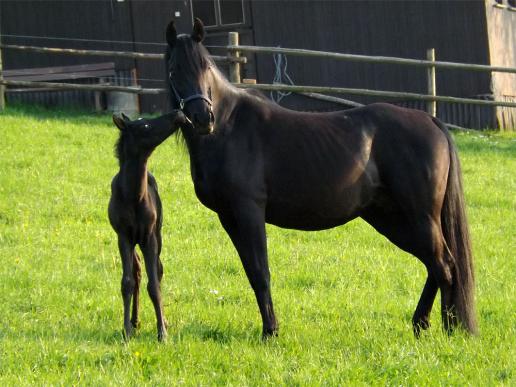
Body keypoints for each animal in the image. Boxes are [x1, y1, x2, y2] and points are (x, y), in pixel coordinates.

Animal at [109, 110, 187, 342]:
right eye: (144, 126)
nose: (177, 114)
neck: (133, 195)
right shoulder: (124, 236)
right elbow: (127, 282)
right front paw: (126, 330)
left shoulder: (149, 236)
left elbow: (154, 285)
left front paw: (162, 332)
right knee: (137, 271)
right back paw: (134, 321)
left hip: (158, 234)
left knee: (158, 270)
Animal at [164, 19, 476, 338]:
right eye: (174, 70)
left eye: (205, 67)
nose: (203, 118)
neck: (229, 128)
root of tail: (431, 120)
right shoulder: (228, 217)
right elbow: (252, 272)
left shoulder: (249, 212)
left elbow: (261, 272)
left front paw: (270, 332)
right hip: (391, 219)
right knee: (434, 265)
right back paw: (422, 324)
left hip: (418, 217)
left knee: (444, 266)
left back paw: (450, 329)